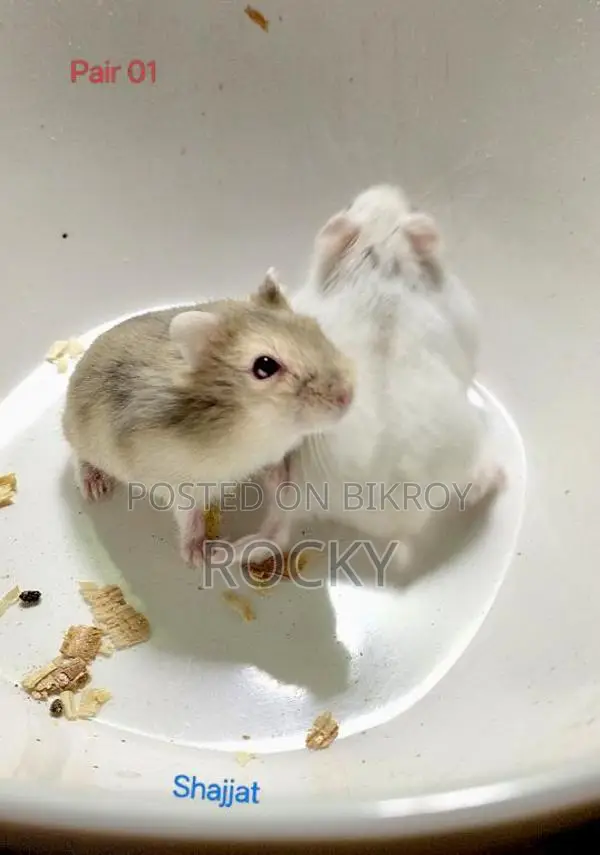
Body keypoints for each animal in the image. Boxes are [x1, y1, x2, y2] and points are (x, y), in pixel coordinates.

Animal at [62, 272, 355, 567]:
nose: (348, 396)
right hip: (84, 437)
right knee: (78, 455)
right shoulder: (177, 484)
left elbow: (275, 470)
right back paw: (95, 488)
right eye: (265, 366)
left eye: (315, 328)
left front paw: (281, 481)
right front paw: (200, 557)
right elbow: (188, 516)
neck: (257, 426)